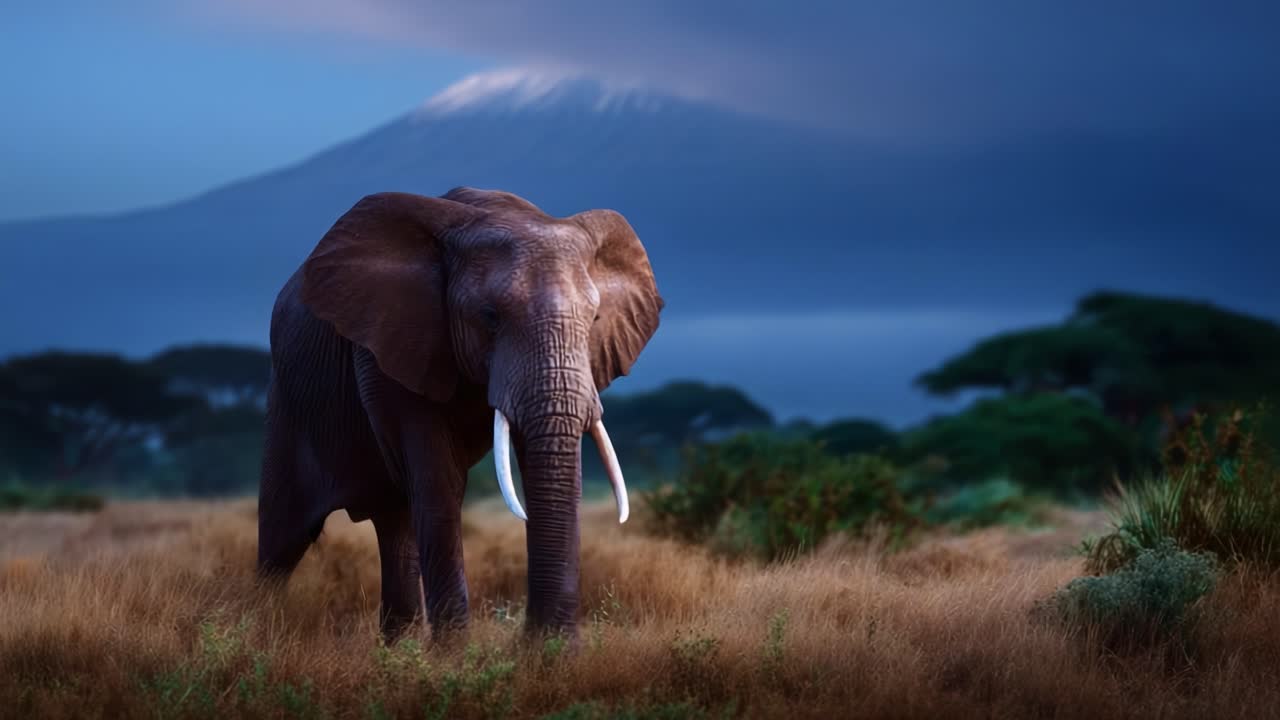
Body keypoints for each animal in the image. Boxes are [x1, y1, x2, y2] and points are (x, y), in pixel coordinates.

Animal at [256, 187, 662, 639]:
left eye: (594, 319)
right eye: (490, 317)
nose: (539, 643)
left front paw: (549, 651)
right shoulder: (392, 347)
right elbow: (440, 481)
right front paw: (456, 654)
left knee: (395, 524)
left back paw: (400, 647)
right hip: (287, 407)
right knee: (281, 541)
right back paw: (257, 633)